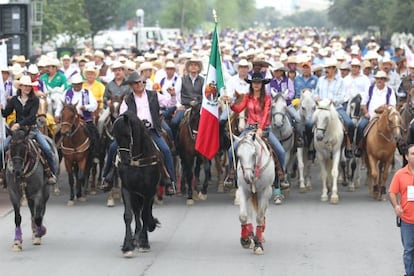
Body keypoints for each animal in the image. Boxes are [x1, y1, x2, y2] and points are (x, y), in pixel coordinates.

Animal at [112, 111, 161, 258]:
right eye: (114, 137)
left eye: (127, 135)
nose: (124, 160)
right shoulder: (127, 189)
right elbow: (128, 216)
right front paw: (127, 246)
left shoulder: (149, 191)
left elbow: (145, 214)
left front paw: (144, 243)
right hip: (136, 195)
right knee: (137, 213)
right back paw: (135, 238)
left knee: (145, 212)